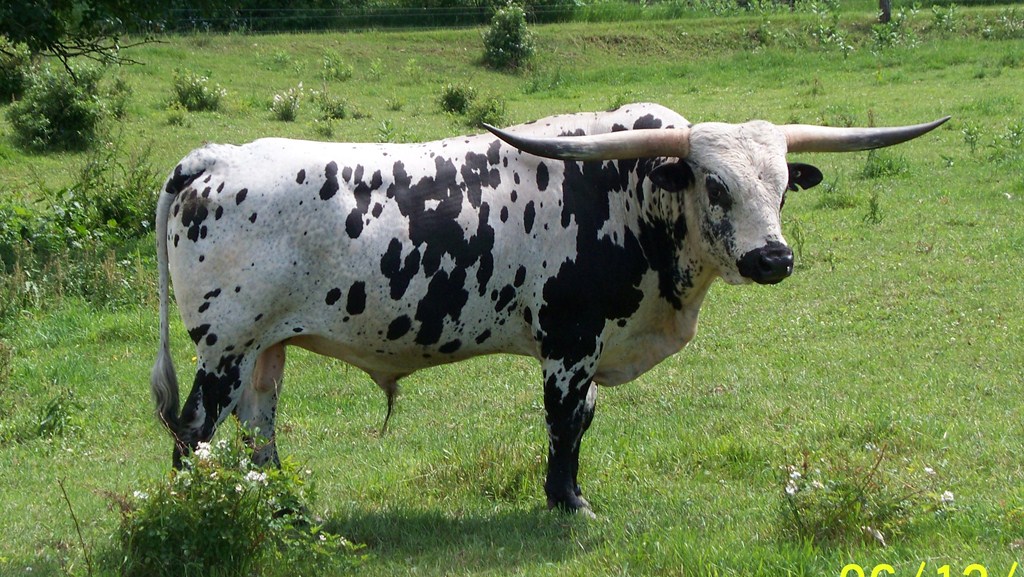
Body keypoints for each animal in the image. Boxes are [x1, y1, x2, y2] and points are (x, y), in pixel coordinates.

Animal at [151, 102, 947, 514]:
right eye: (715, 185)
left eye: (781, 185)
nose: (773, 258)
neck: (627, 193)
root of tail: (212, 158)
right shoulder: (570, 340)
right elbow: (567, 422)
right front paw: (567, 500)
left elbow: (582, 420)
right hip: (223, 347)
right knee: (193, 433)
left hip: (265, 347)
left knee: (258, 426)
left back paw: (280, 502)